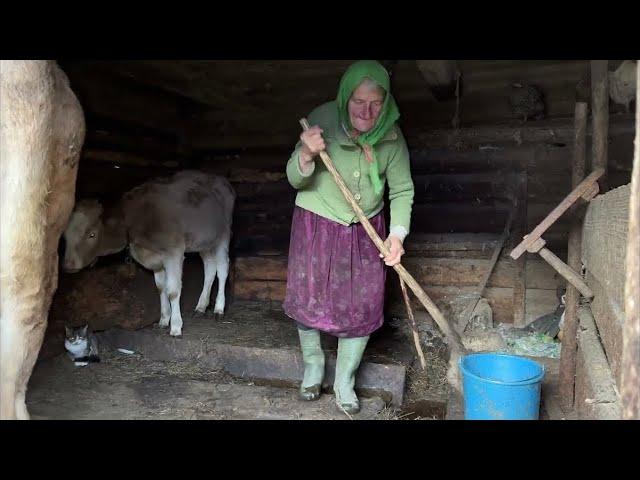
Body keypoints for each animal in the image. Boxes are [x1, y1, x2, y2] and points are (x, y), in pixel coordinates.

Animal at [62, 171, 236, 336]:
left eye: (91, 234)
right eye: (64, 235)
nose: (68, 264)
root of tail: (221, 179)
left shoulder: (174, 253)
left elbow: (173, 291)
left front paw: (176, 327)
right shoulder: (156, 259)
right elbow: (161, 288)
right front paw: (164, 320)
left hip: (223, 235)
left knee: (222, 269)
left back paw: (219, 309)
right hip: (205, 242)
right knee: (210, 268)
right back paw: (201, 307)